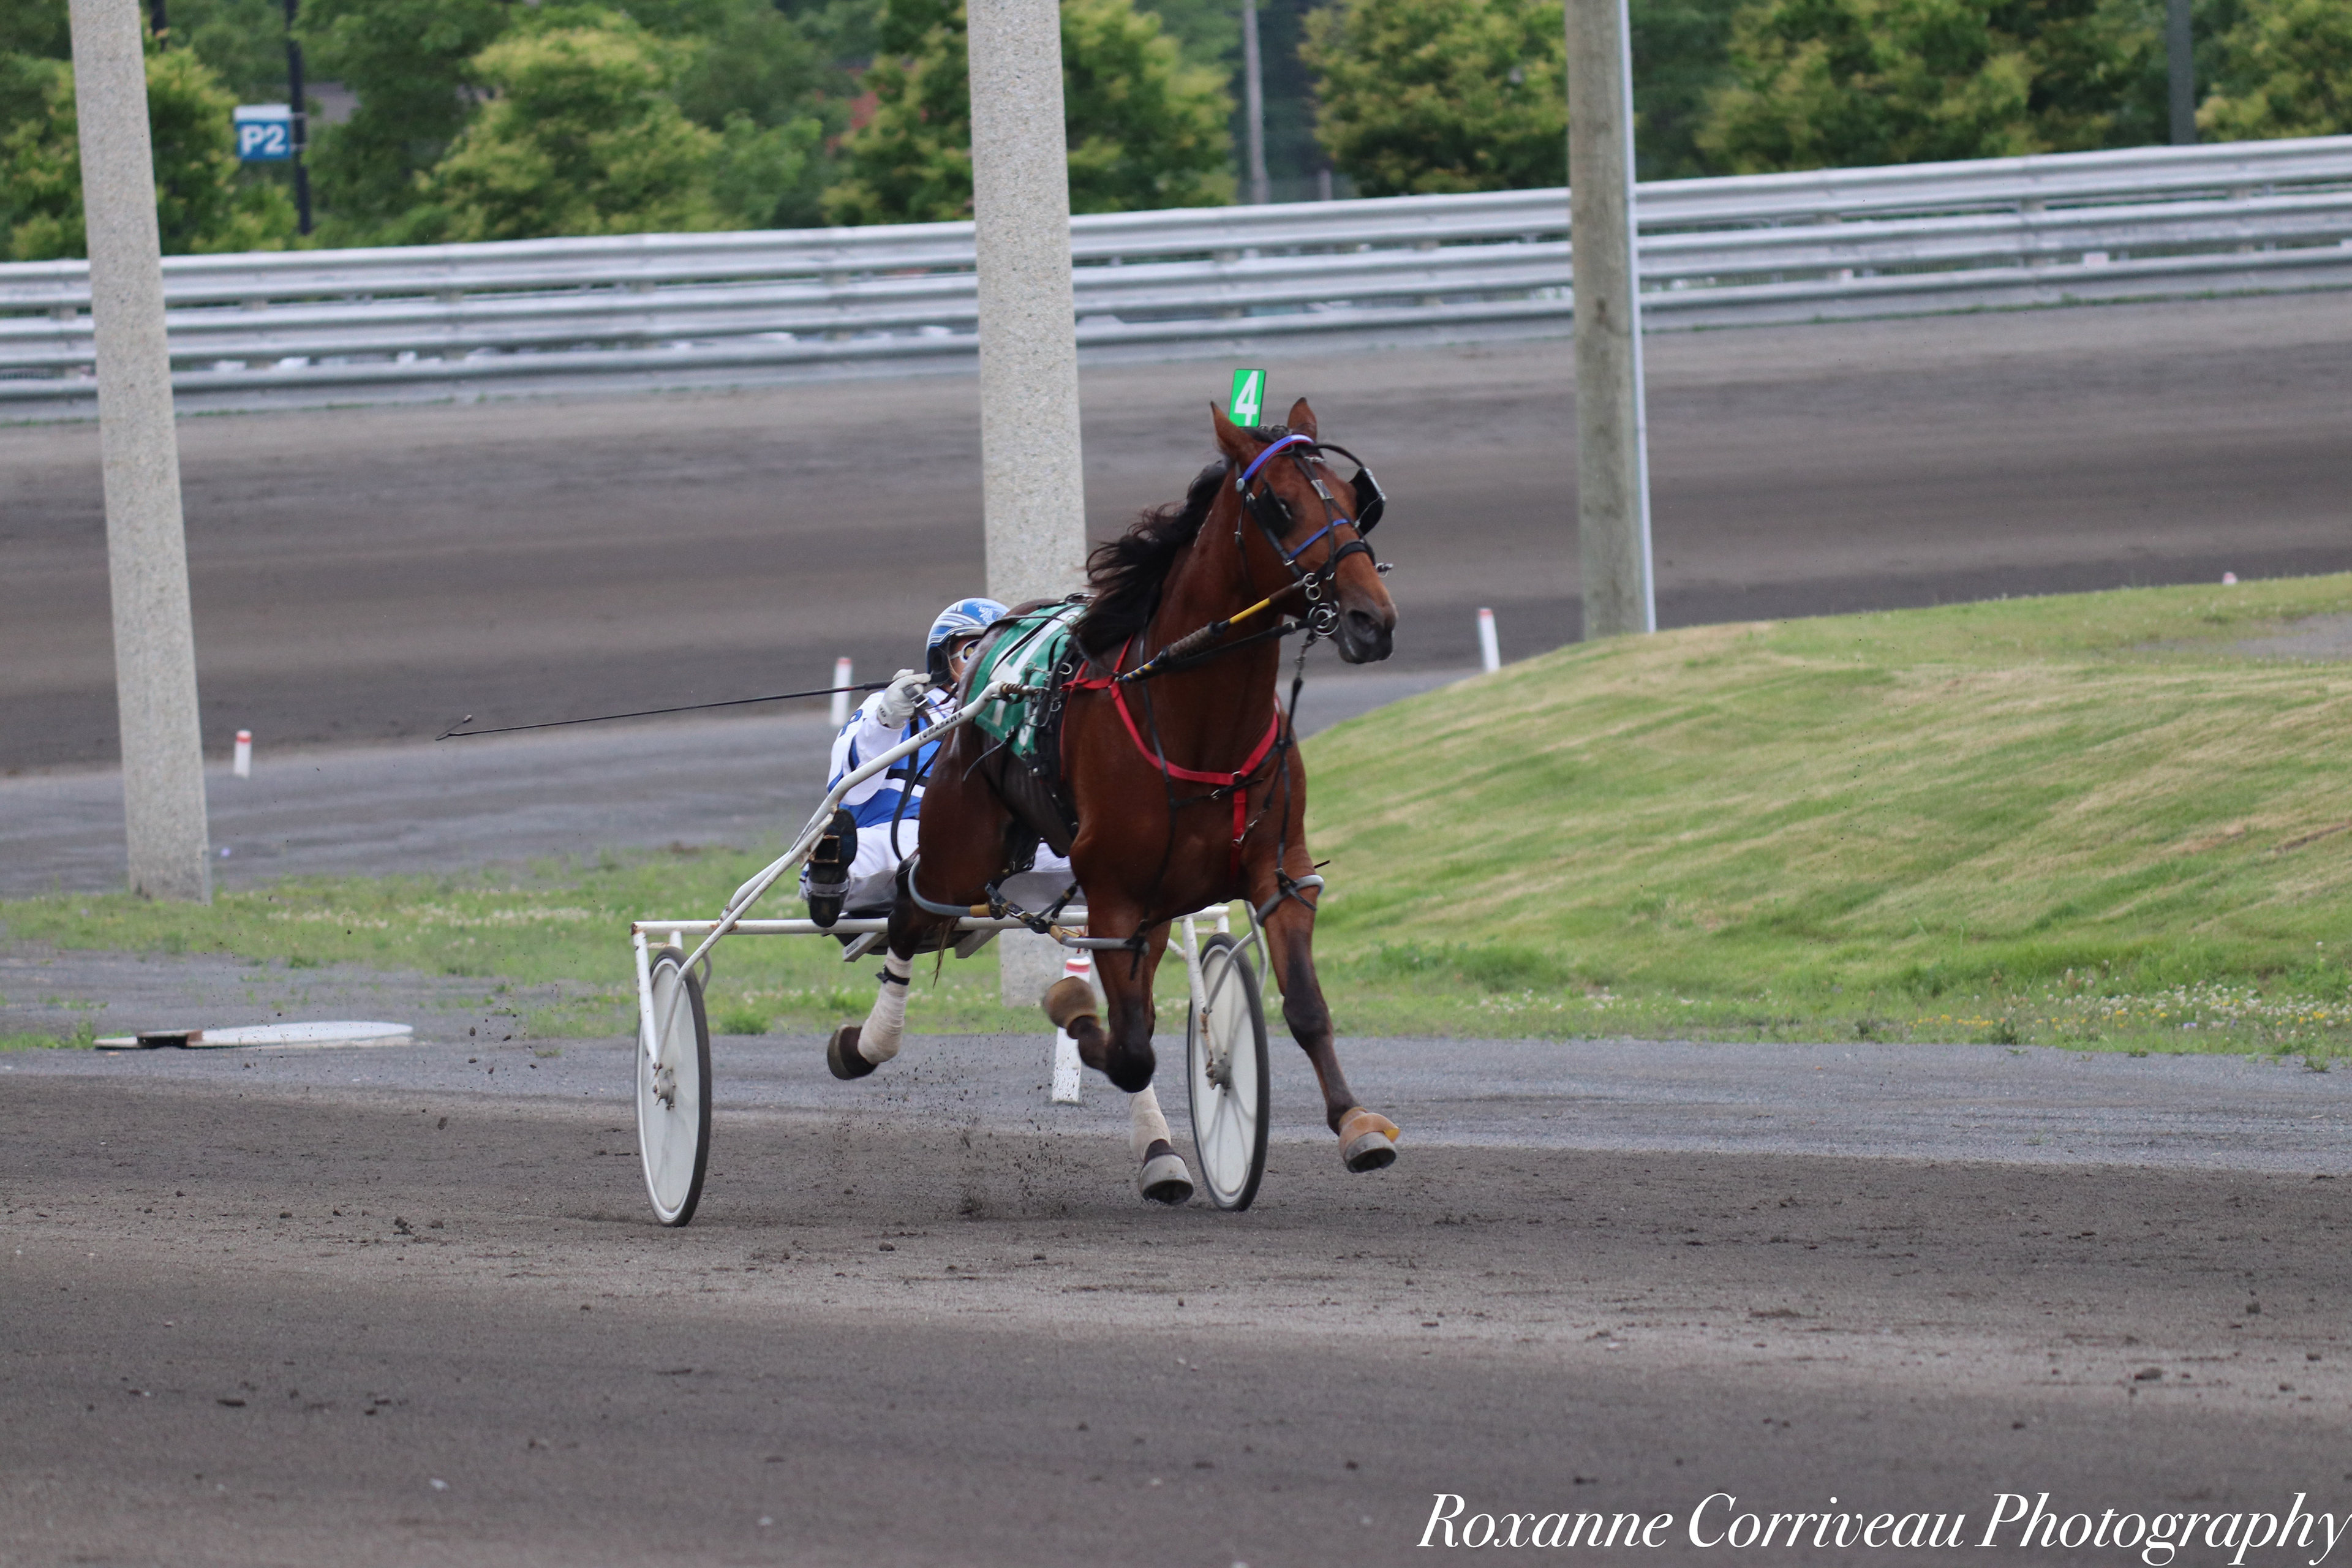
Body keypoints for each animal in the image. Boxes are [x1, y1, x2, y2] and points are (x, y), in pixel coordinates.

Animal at [825, 397, 1403, 1201]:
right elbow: (1129, 1047)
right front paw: (1071, 1007)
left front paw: (1355, 1124)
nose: (1370, 620)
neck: (1197, 721)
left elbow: (1306, 1009)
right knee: (912, 917)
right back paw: (865, 1042)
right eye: (1278, 505)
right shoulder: (1114, 897)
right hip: (959, 850)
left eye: (1355, 499)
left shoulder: (1278, 871)